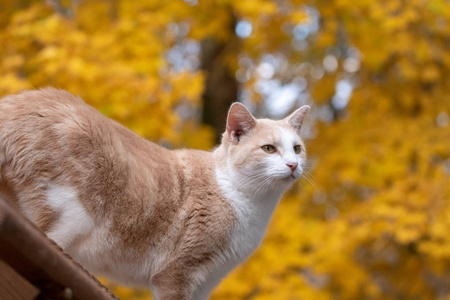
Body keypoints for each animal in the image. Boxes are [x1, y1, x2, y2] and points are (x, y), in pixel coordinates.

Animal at [0, 87, 310, 300]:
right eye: (269, 149)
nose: (293, 165)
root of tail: (14, 104)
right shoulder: (177, 273)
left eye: (296, 148)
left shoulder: (204, 284)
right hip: (70, 218)